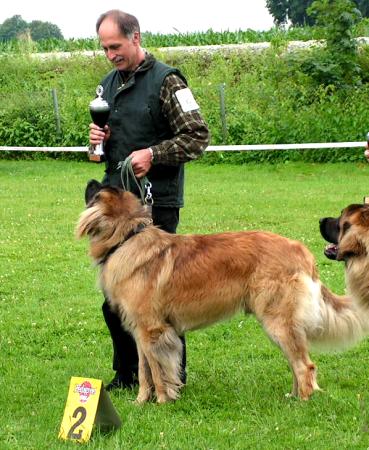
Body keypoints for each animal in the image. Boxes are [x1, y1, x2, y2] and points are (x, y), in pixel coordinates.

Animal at [76, 181, 366, 402]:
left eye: (97, 191)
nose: (90, 180)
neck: (128, 238)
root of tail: (301, 250)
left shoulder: (151, 330)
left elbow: (157, 371)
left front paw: (161, 401)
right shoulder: (140, 333)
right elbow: (145, 370)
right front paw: (140, 402)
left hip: (278, 321)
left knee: (305, 365)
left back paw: (303, 402)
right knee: (297, 363)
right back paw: (293, 397)